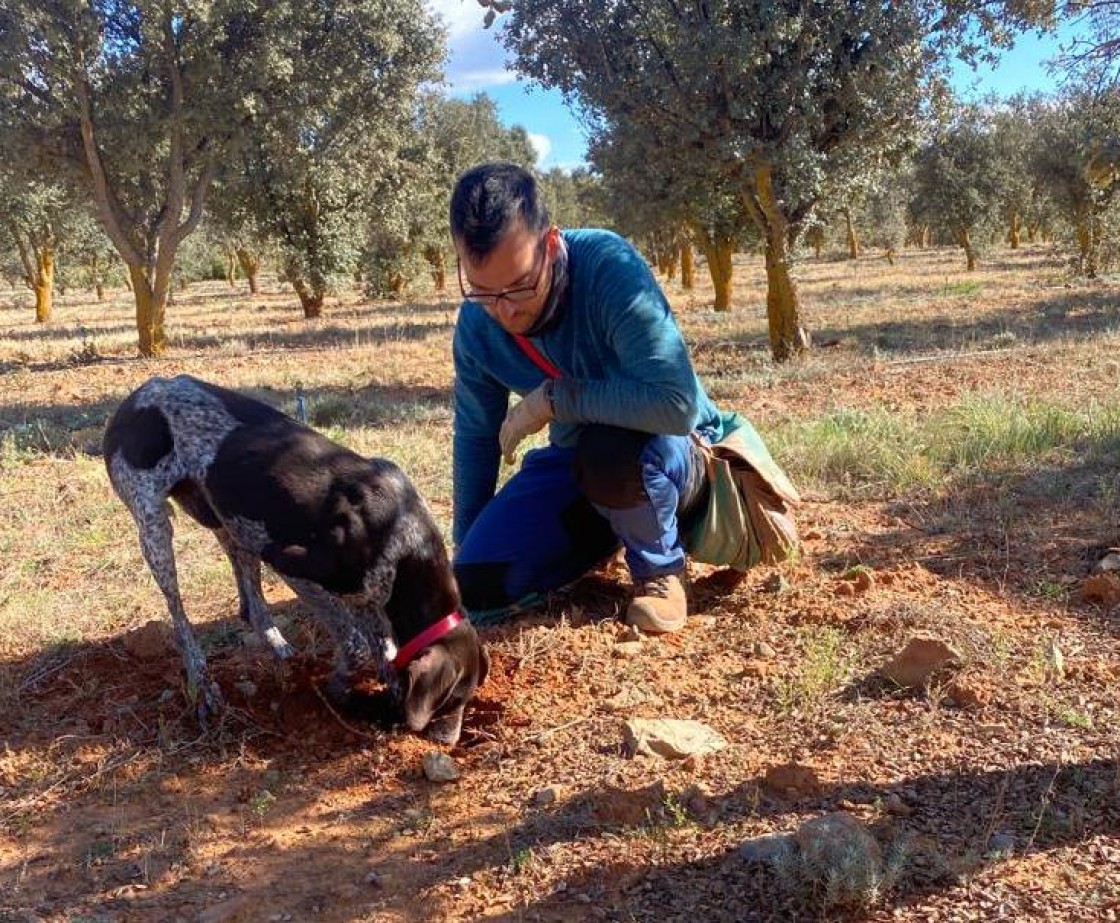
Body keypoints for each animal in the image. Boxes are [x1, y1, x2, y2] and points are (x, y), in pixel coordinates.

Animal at [104, 374, 486, 743]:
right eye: (451, 700)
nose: (449, 741)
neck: (405, 540)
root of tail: (137, 395)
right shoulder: (294, 567)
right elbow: (357, 646)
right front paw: (339, 690)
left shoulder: (366, 594)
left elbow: (383, 649)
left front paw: (385, 694)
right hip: (156, 528)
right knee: (180, 618)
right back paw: (203, 685)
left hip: (230, 520)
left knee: (253, 604)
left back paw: (276, 647)